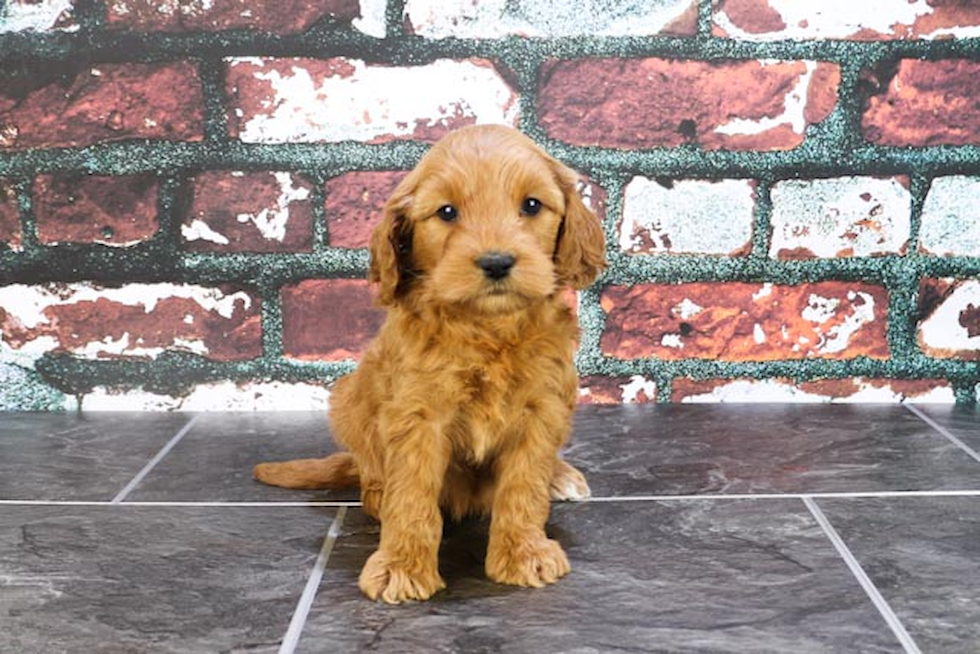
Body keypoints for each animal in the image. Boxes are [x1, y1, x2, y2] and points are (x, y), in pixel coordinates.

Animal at [253, 125, 604, 608]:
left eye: (532, 205)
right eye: (447, 212)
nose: (497, 262)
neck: (486, 328)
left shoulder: (543, 407)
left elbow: (524, 484)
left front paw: (524, 552)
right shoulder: (417, 414)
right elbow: (413, 494)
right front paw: (402, 565)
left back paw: (561, 476)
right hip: (347, 398)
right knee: (372, 472)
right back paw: (377, 495)